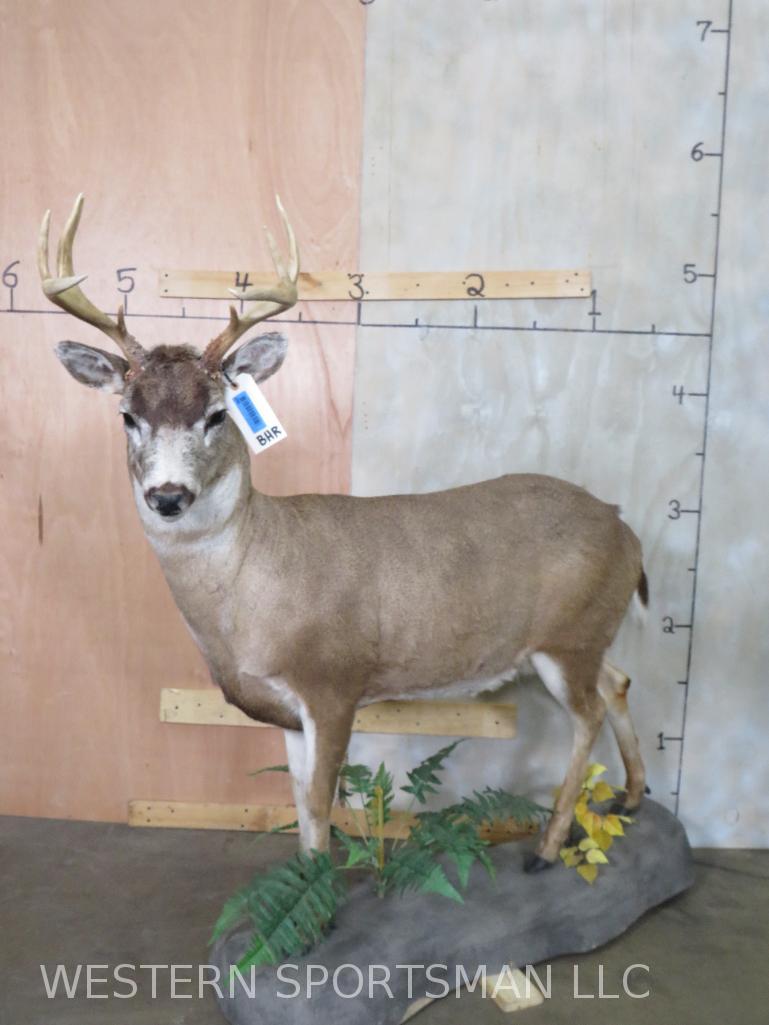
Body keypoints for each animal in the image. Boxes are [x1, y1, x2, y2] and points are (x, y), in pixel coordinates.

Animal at [40, 194, 647, 872]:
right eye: (127, 416)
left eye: (218, 413)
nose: (169, 496)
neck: (251, 598)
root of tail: (625, 529)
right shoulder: (286, 710)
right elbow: (301, 809)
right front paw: (305, 885)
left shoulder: (333, 682)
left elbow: (320, 806)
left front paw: (322, 891)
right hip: (588, 633)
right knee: (619, 682)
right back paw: (629, 798)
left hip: (567, 638)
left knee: (589, 714)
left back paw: (547, 846)